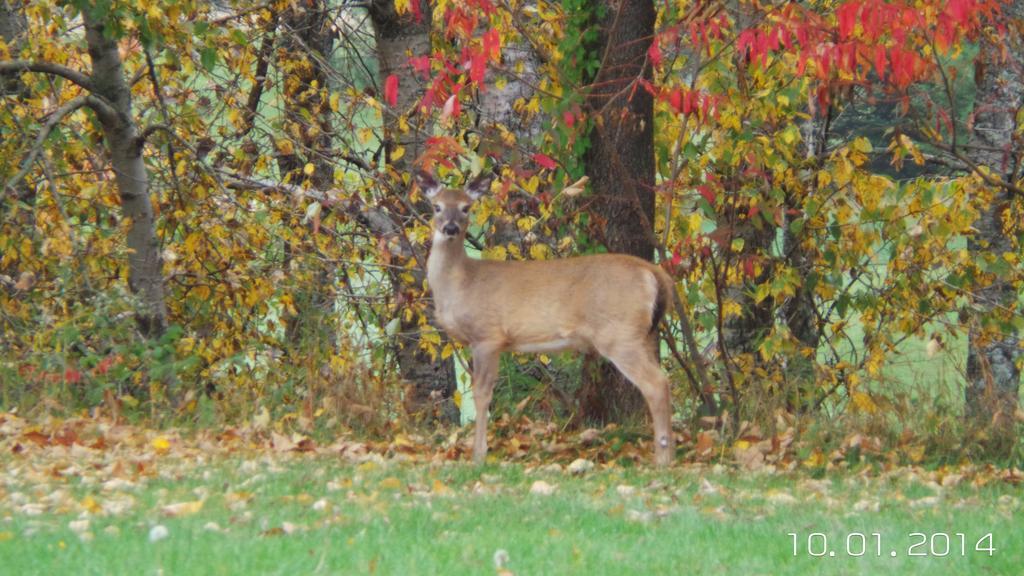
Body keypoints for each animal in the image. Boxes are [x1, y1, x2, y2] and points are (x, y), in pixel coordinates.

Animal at [413, 170, 688, 467]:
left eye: (466, 207)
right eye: (436, 206)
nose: (450, 228)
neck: (461, 283)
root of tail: (654, 273)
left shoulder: (487, 335)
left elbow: (482, 395)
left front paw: (478, 456)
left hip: (620, 335)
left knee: (657, 384)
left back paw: (663, 459)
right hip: (644, 334)